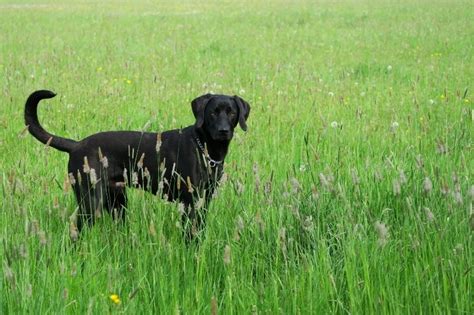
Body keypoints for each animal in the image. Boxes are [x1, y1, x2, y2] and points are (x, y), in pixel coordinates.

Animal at [24, 90, 250, 241]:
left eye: (231, 113)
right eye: (213, 113)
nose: (223, 131)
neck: (205, 148)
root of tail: (76, 145)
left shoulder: (204, 200)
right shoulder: (190, 201)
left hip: (117, 202)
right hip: (90, 201)